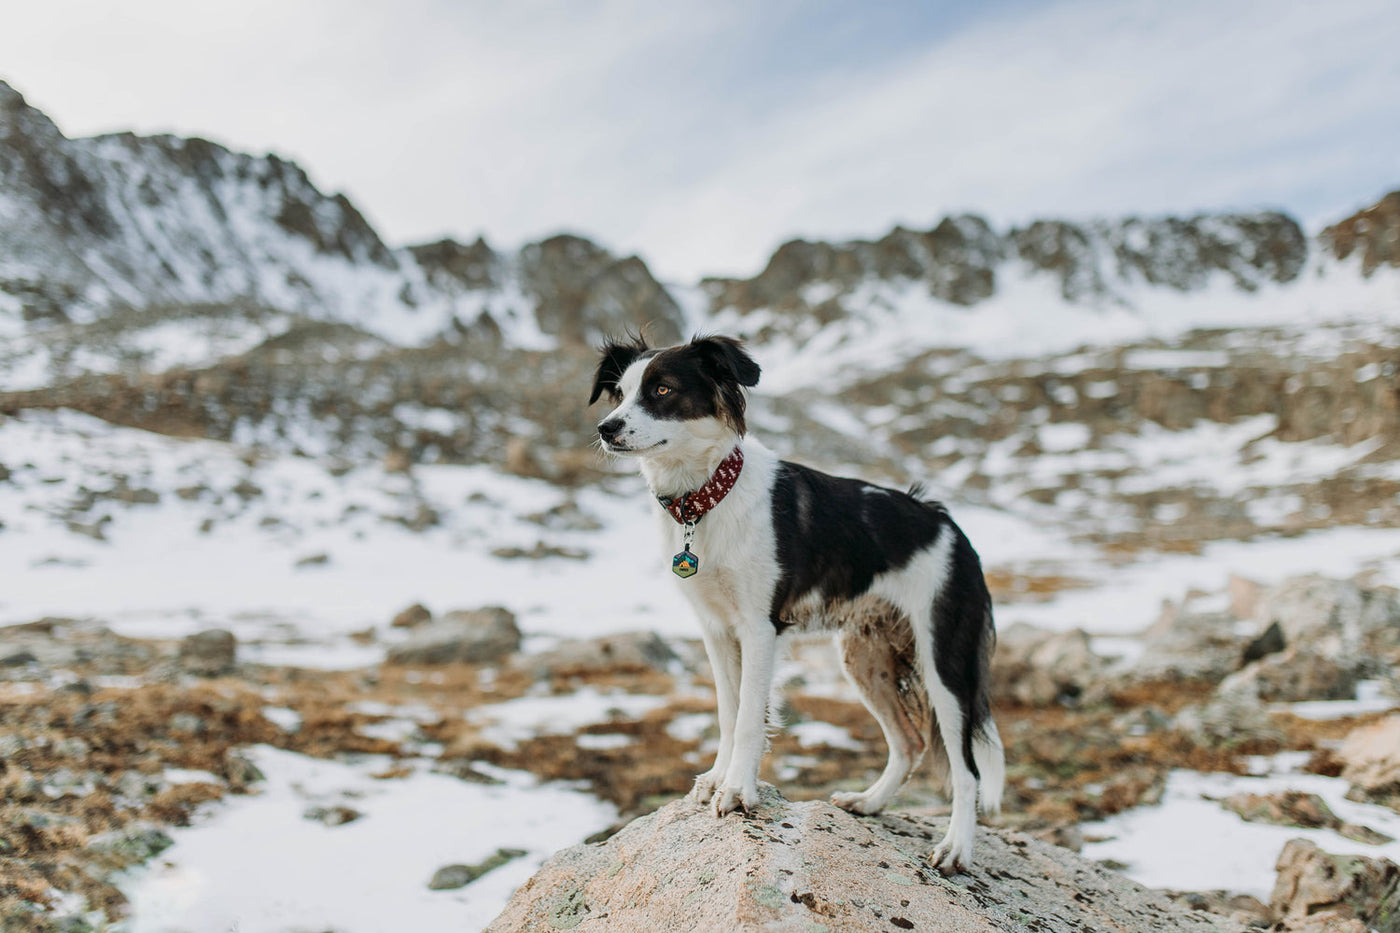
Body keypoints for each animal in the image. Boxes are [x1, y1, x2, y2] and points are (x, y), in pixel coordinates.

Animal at [585, 330, 1002, 868]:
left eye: (661, 390)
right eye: (619, 392)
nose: (606, 429)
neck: (707, 498)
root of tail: (950, 526)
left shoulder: (760, 627)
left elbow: (748, 719)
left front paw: (737, 791)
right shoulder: (716, 629)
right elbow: (729, 711)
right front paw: (719, 777)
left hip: (944, 663)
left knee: (967, 767)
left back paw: (956, 848)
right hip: (864, 658)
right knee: (909, 742)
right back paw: (869, 801)